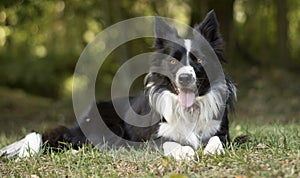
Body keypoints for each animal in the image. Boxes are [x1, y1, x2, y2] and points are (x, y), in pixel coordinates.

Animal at [1, 9, 237, 160]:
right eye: (172, 61)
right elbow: (170, 142)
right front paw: (185, 152)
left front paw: (212, 150)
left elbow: (216, 140)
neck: (189, 110)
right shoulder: (153, 139)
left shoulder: (222, 133)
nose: (185, 78)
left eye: (200, 60)